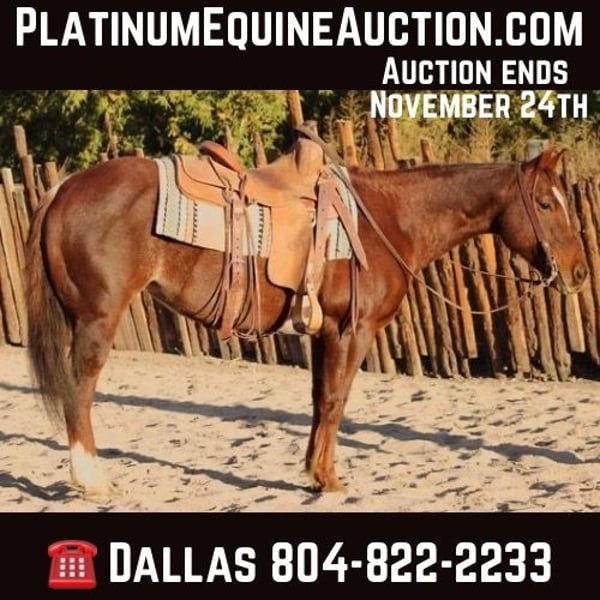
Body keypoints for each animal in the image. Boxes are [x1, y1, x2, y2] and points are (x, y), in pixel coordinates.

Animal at [25, 141, 588, 498]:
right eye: (544, 203)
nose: (579, 271)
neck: (388, 220)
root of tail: (63, 189)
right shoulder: (352, 331)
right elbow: (337, 402)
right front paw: (329, 479)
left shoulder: (323, 333)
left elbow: (320, 401)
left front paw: (315, 474)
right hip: (97, 318)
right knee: (80, 389)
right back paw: (93, 481)